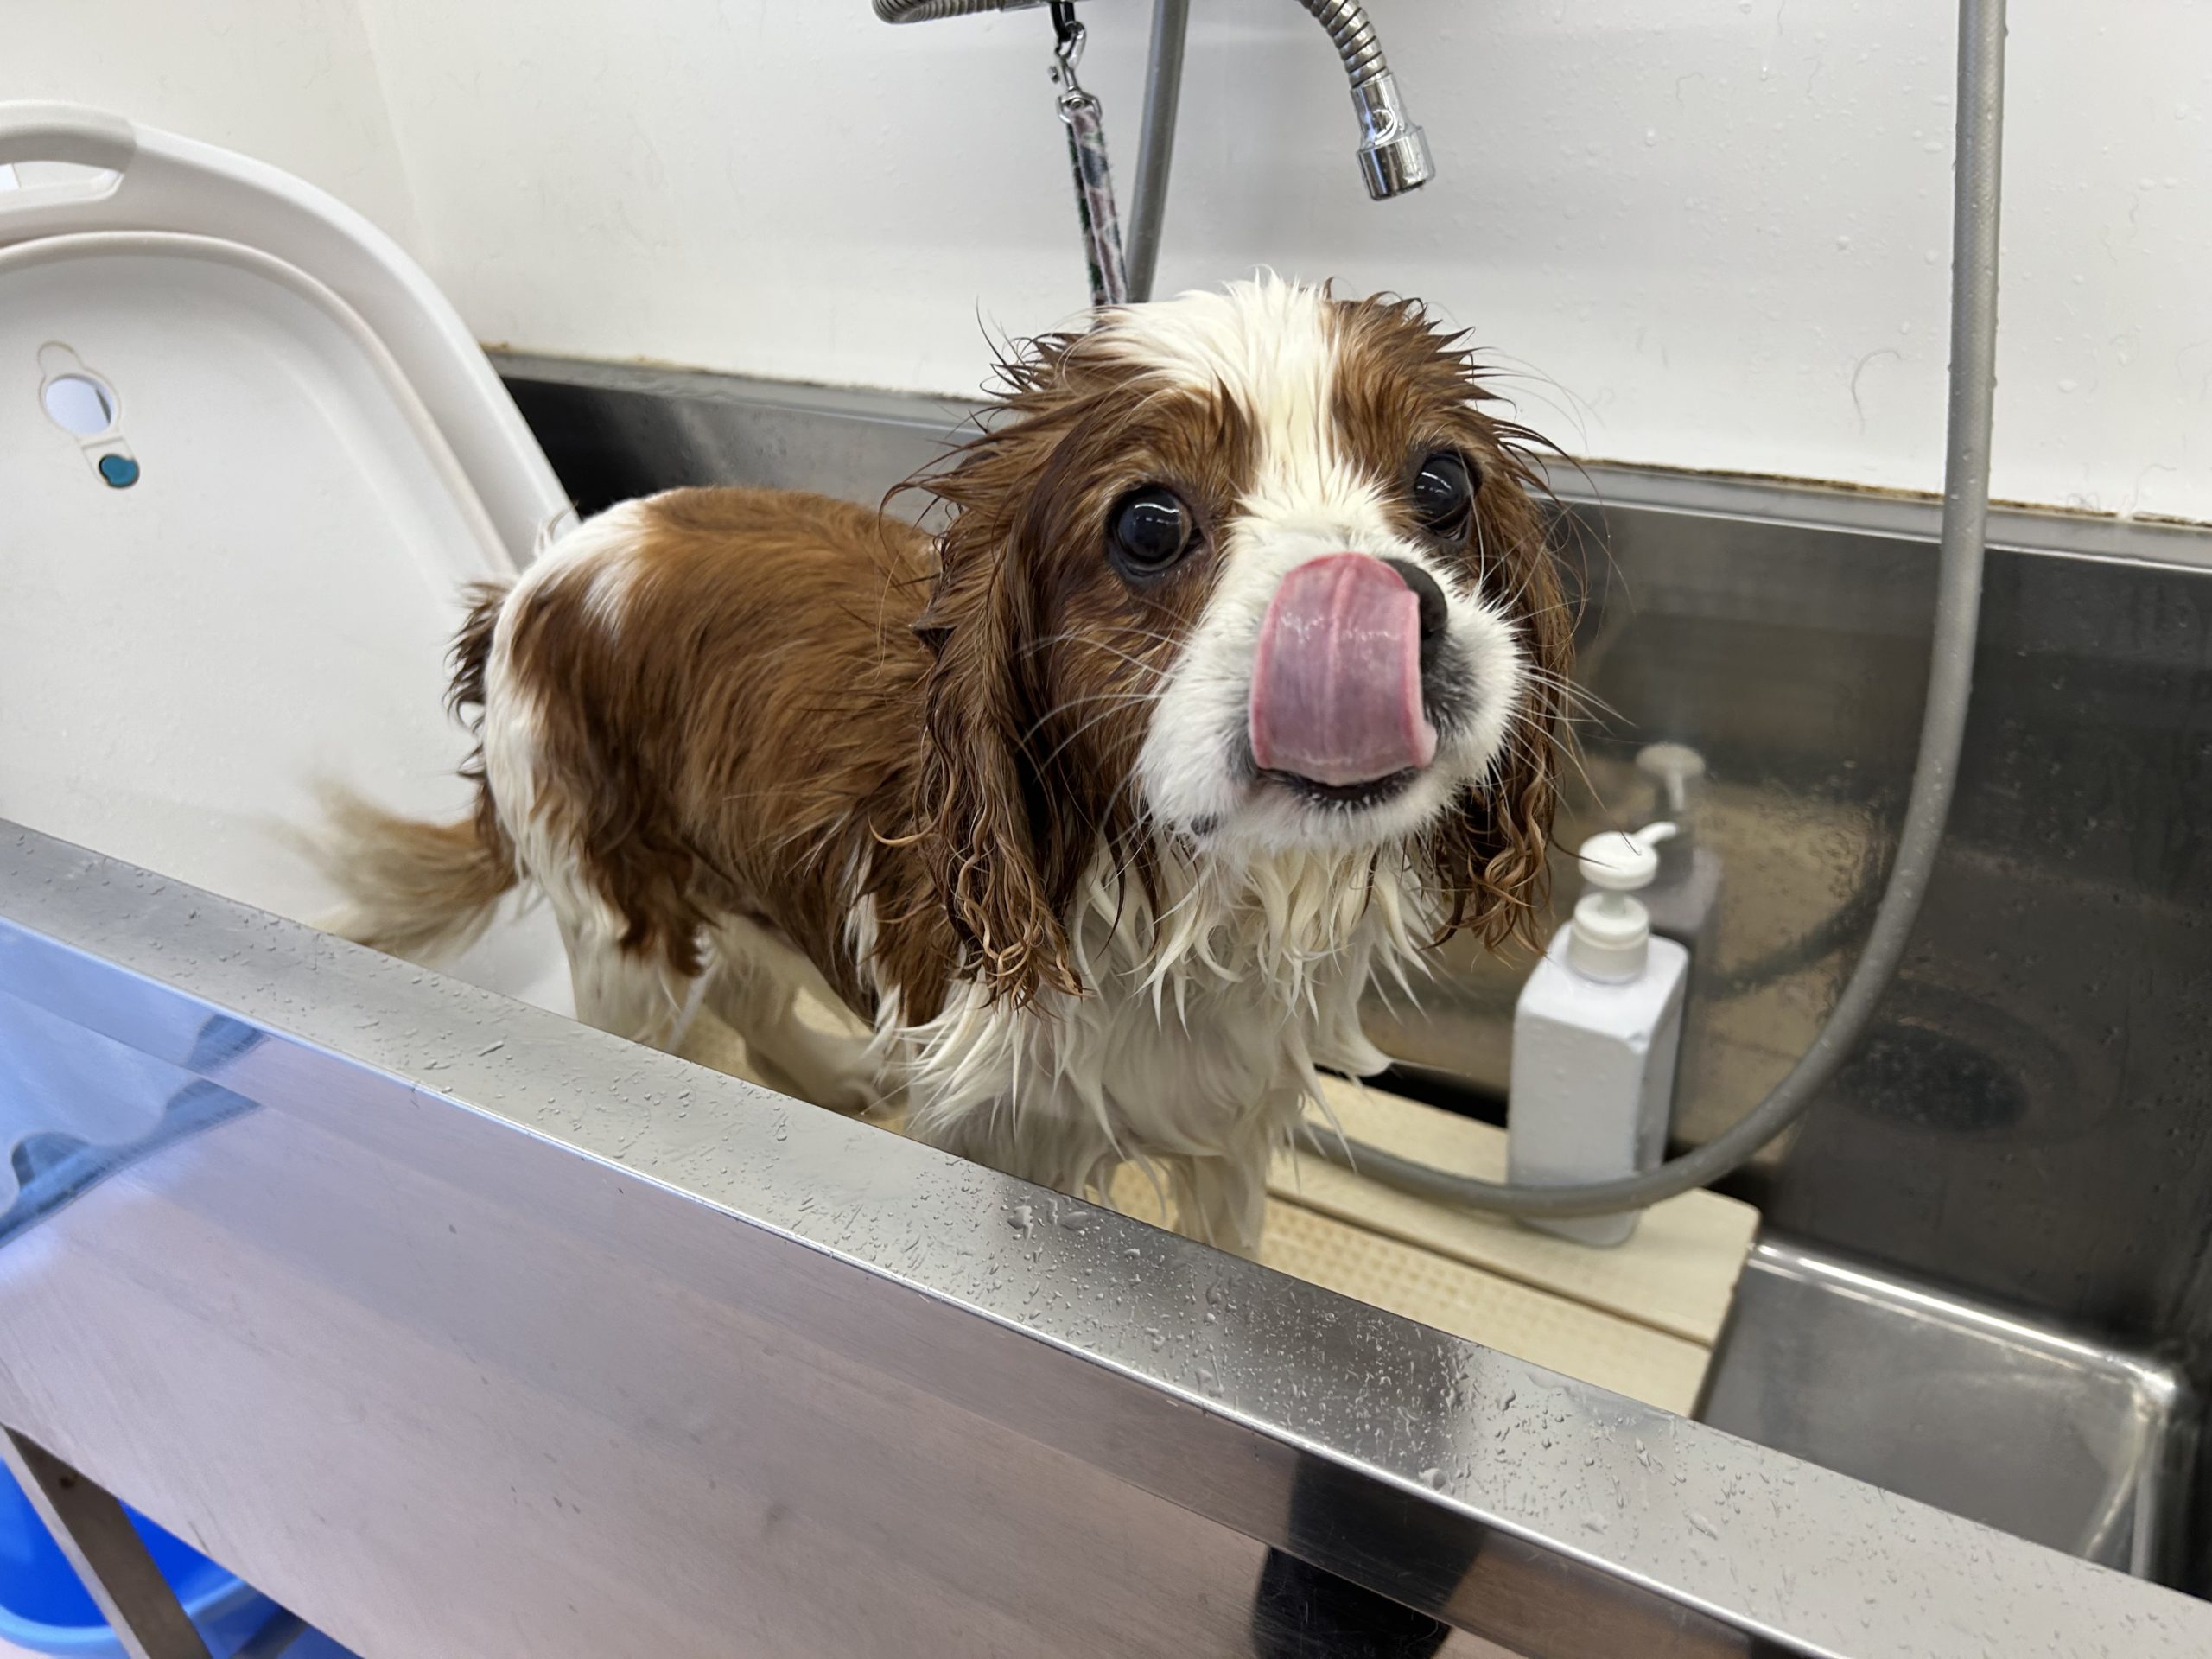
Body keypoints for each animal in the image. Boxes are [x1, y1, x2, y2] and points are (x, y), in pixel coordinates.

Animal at [321, 276, 1570, 1256]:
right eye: (1149, 524)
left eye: (1444, 485)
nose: (1385, 615)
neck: (1181, 900)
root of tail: (527, 584)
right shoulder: (991, 1136)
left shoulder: (1232, 1130)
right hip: (619, 914)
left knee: (752, 991)